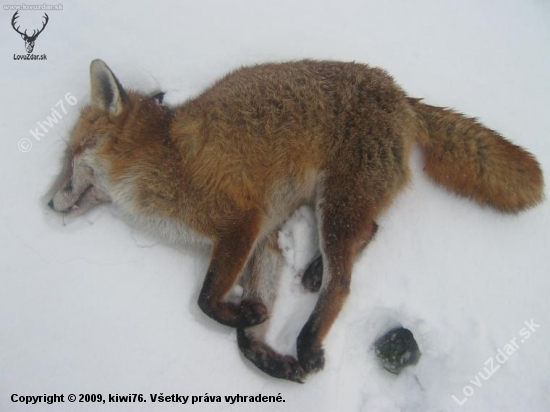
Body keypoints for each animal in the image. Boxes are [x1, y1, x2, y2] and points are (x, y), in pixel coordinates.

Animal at [48, 58, 548, 384]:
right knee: (370, 230)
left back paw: (308, 340)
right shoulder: (265, 238)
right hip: (343, 204)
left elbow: (205, 299)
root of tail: (402, 95)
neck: (163, 161)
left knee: (343, 283)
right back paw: (312, 272)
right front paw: (266, 353)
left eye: (72, 155)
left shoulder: (242, 222)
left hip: (336, 206)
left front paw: (248, 318)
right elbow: (245, 335)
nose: (49, 203)